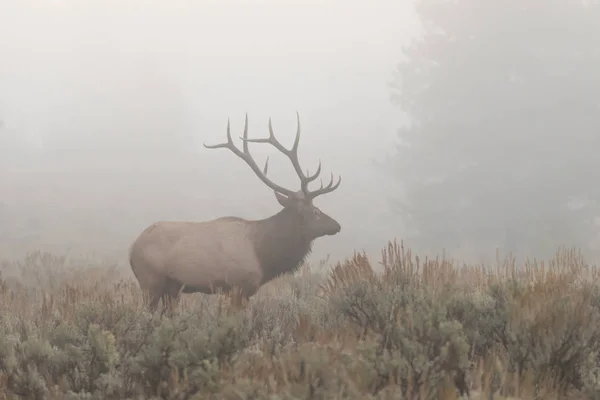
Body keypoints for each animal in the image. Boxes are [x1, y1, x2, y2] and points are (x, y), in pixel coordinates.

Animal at [128, 112, 340, 312]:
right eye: (316, 211)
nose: (337, 225)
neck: (264, 255)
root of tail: (132, 249)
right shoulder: (238, 286)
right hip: (150, 281)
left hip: (172, 287)